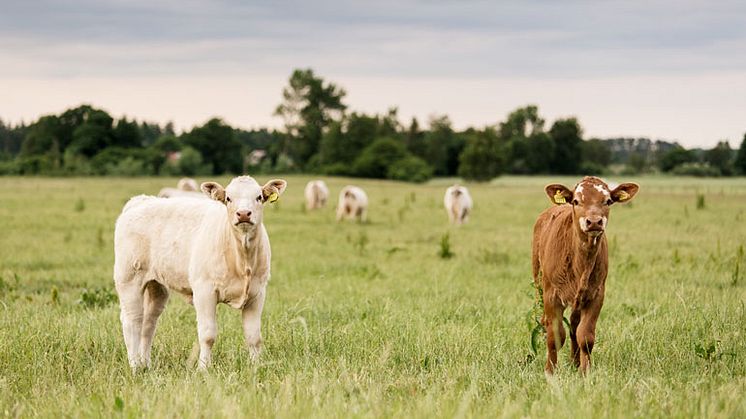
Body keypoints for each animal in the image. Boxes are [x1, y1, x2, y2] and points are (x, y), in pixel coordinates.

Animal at [115, 176, 286, 370]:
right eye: (229, 198)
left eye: (259, 197)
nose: (243, 214)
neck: (241, 257)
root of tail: (141, 200)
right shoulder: (204, 291)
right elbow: (208, 334)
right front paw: (203, 368)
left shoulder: (257, 293)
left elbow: (254, 336)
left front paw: (256, 366)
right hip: (128, 279)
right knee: (132, 321)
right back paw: (135, 366)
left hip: (156, 286)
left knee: (148, 323)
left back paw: (146, 364)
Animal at [528, 176, 640, 376]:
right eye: (576, 201)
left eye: (608, 201)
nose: (594, 222)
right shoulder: (551, 295)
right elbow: (555, 335)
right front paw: (550, 371)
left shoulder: (596, 294)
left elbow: (585, 336)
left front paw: (584, 371)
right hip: (538, 282)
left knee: (574, 325)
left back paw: (575, 362)